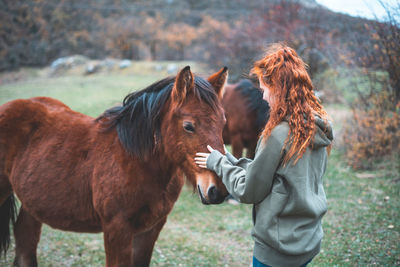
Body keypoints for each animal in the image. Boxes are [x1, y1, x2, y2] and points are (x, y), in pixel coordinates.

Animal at [0, 66, 228, 266]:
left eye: (223, 123)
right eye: (188, 126)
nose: (217, 191)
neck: (137, 159)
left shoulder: (150, 230)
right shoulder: (117, 230)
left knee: (25, 238)